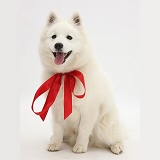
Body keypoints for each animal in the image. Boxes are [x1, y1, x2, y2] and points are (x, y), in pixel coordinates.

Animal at [39, 10, 125, 154]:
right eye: (53, 37)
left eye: (69, 37)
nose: (58, 45)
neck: (66, 74)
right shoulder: (57, 108)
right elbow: (57, 129)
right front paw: (55, 144)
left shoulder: (88, 109)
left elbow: (84, 130)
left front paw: (80, 146)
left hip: (104, 125)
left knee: (118, 137)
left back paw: (117, 146)